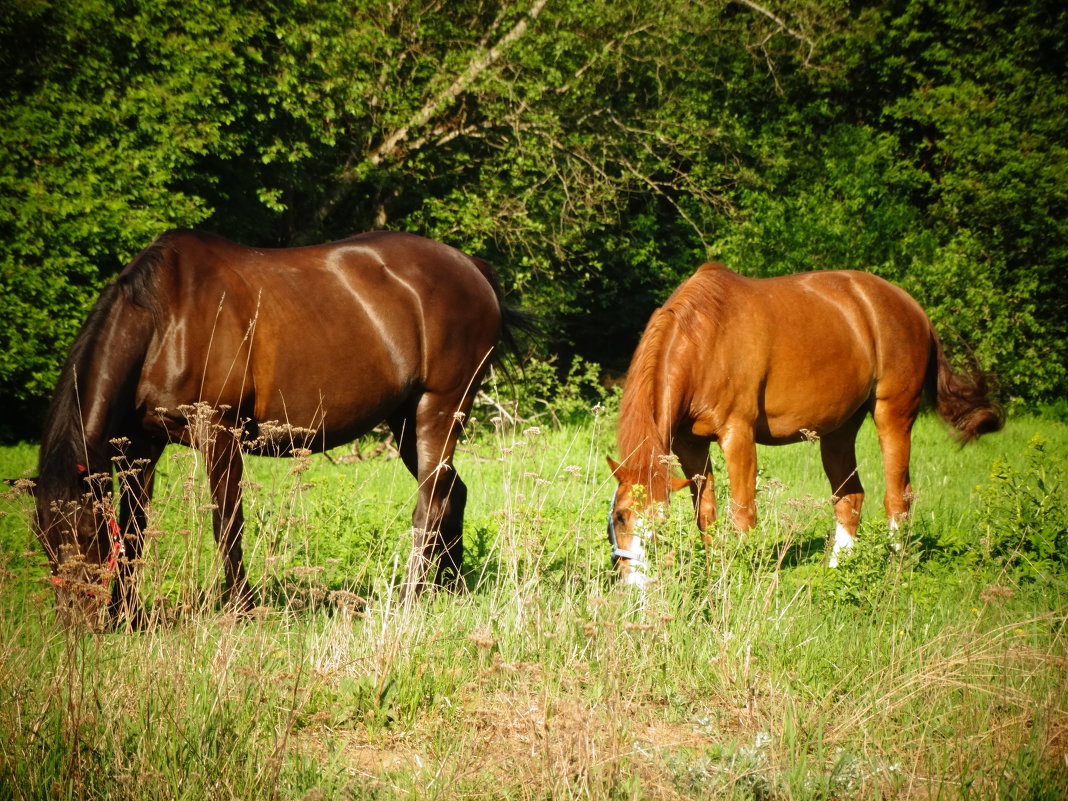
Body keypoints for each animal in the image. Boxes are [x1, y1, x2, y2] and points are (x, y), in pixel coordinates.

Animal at [35, 228, 527, 632]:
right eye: (43, 539)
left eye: (85, 535)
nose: (76, 624)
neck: (165, 321)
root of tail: (472, 268)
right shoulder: (142, 445)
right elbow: (134, 528)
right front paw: (128, 615)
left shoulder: (220, 433)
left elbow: (226, 523)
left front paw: (241, 610)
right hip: (407, 420)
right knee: (452, 492)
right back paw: (450, 590)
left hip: (439, 410)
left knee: (429, 506)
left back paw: (409, 598)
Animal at [610, 263, 999, 585]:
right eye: (620, 517)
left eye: (659, 522)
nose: (634, 584)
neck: (705, 338)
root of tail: (913, 307)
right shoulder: (690, 446)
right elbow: (706, 515)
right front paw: (714, 577)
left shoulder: (738, 436)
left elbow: (743, 514)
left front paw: (739, 579)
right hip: (839, 429)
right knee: (850, 497)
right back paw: (836, 572)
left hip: (893, 415)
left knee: (897, 497)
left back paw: (894, 569)